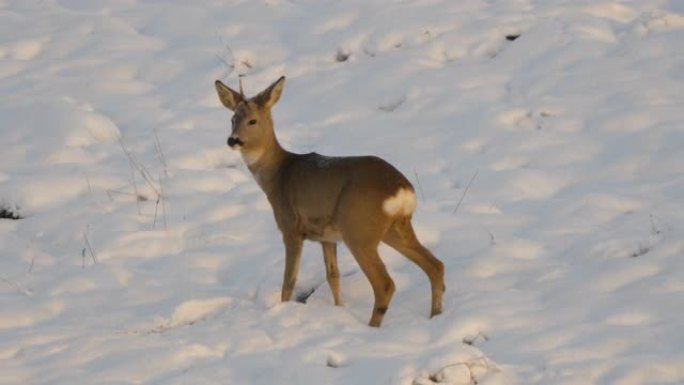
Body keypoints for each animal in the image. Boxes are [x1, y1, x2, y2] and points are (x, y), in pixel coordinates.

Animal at [216, 76, 446, 328]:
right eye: (232, 119)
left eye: (253, 120)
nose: (232, 140)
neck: (278, 176)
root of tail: (402, 190)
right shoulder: (327, 237)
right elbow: (333, 276)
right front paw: (339, 309)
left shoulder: (290, 227)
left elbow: (289, 280)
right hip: (395, 227)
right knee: (435, 266)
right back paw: (436, 316)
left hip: (359, 231)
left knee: (386, 284)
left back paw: (372, 327)